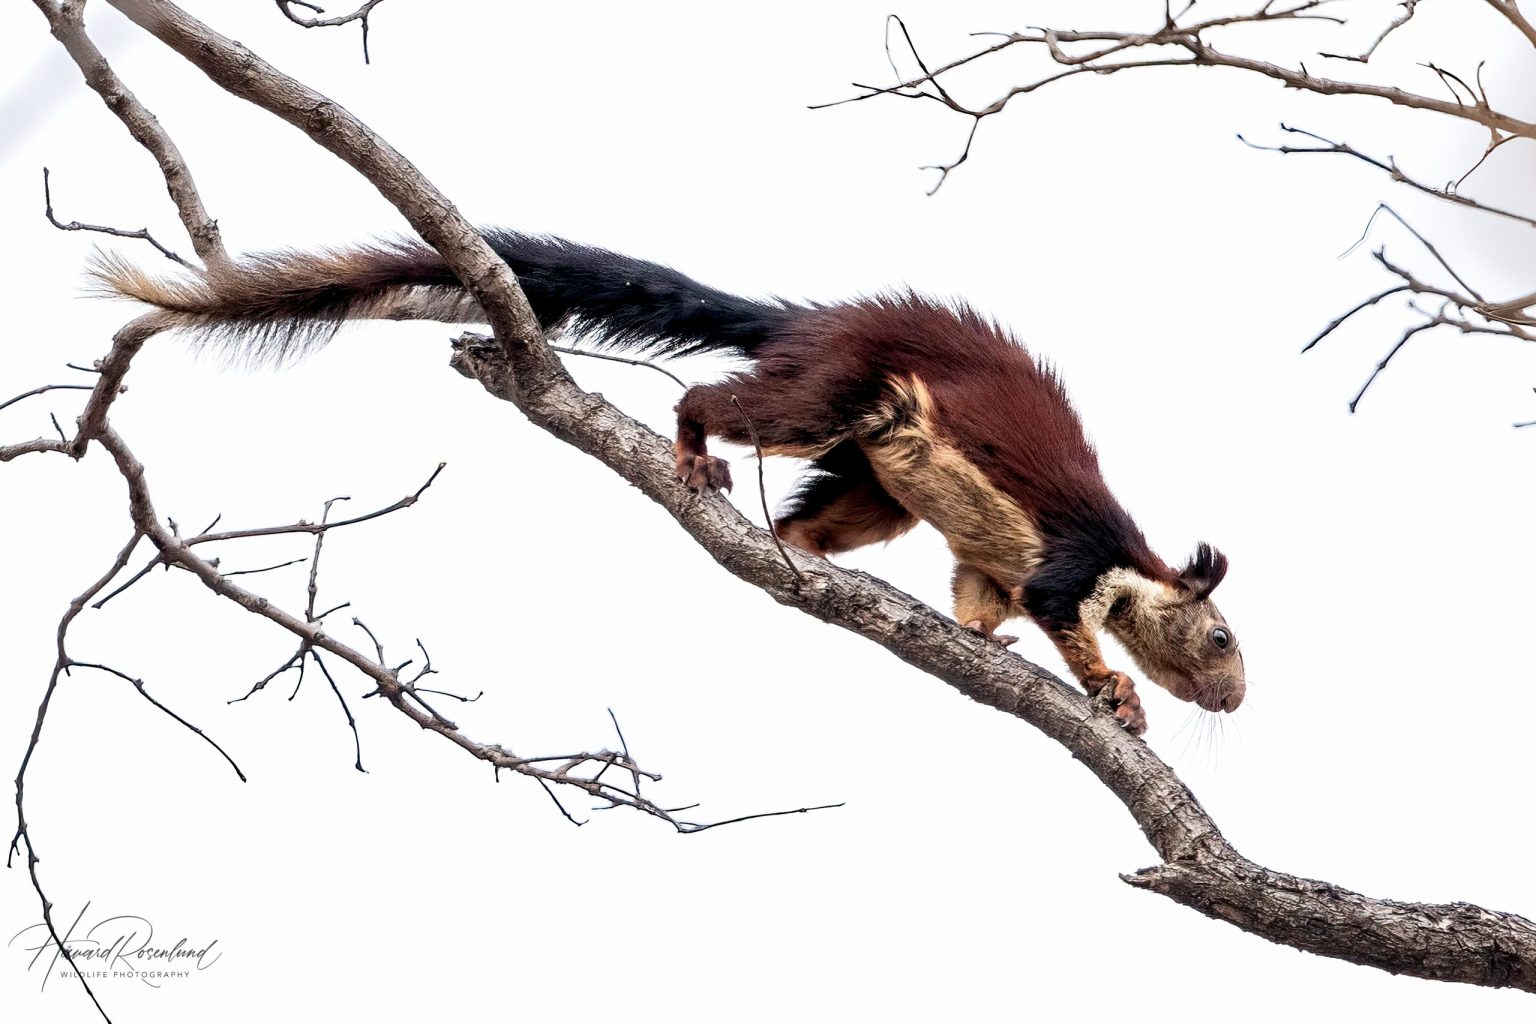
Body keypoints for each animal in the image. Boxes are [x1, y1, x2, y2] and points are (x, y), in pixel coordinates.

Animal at [92, 230, 1245, 734]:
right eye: (1224, 639)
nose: (1234, 701)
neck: (1132, 568)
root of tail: (816, 324)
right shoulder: (1075, 558)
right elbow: (1058, 610)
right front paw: (1113, 689)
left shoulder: (987, 564)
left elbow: (980, 602)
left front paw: (985, 642)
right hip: (833, 400)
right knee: (716, 399)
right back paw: (693, 451)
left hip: (875, 474)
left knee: (822, 527)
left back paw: (811, 565)